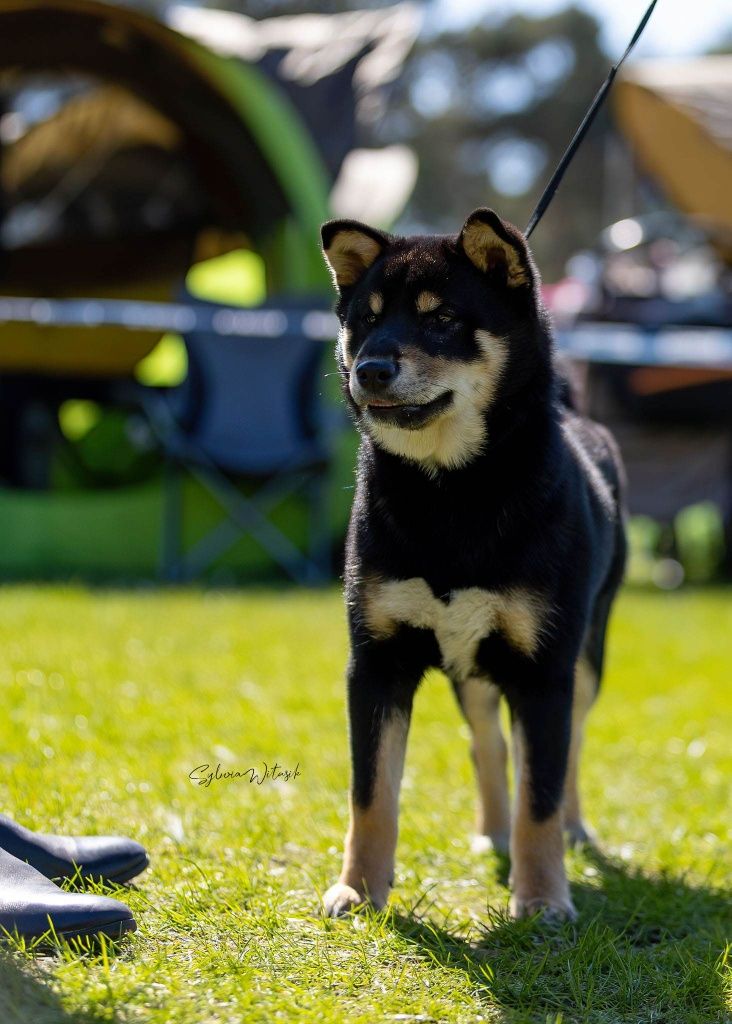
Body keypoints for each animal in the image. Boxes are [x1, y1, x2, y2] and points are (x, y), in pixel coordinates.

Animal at [319, 207, 622, 921]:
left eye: (443, 318)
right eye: (365, 318)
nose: (369, 368)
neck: (450, 491)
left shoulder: (544, 672)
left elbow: (540, 794)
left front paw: (541, 898)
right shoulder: (376, 663)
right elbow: (371, 794)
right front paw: (360, 888)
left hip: (585, 655)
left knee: (567, 752)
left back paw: (571, 831)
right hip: (471, 666)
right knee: (488, 743)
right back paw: (491, 831)